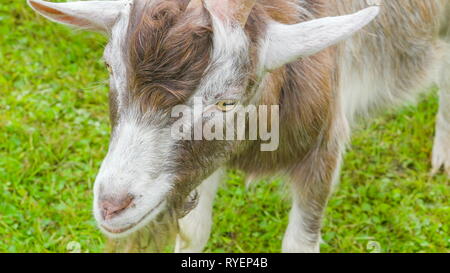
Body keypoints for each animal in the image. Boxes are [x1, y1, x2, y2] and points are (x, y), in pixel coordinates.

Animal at [29, 0, 450, 253]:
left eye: (226, 102)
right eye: (109, 67)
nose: (112, 205)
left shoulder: (324, 148)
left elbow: (300, 243)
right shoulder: (203, 163)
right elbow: (195, 231)